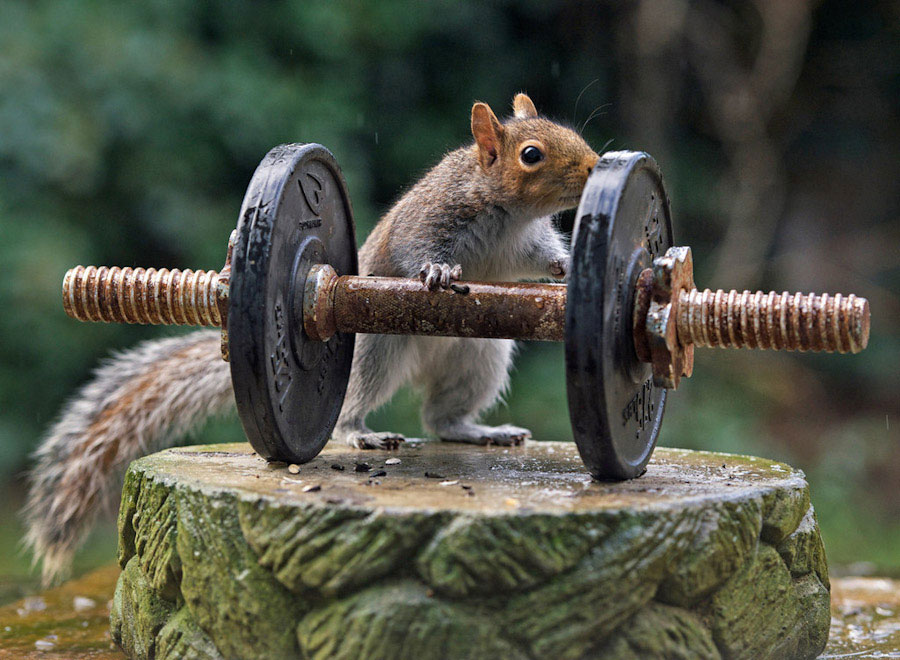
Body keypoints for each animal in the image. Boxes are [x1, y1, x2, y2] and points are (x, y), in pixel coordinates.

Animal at [22, 93, 596, 584]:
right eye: (531, 154)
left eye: (570, 133)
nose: (595, 165)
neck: (506, 212)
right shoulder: (431, 219)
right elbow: (418, 250)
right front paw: (436, 271)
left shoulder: (524, 245)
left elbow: (543, 259)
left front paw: (570, 267)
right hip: (375, 353)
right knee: (356, 405)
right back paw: (362, 434)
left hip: (479, 356)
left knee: (441, 417)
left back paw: (479, 431)